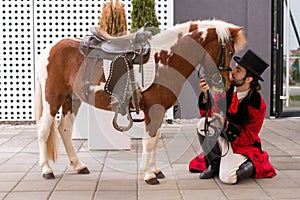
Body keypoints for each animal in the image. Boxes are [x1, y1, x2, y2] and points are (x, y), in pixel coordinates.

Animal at [35, 19, 246, 184]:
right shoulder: (154, 109)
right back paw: (46, 170)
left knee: (64, 129)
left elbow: (154, 139)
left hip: (71, 100)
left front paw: (155, 170)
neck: (166, 59)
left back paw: (78, 166)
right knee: (44, 130)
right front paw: (148, 174)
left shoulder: (159, 110)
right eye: (230, 52)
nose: (226, 83)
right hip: (53, 99)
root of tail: (49, 49)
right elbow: (149, 140)